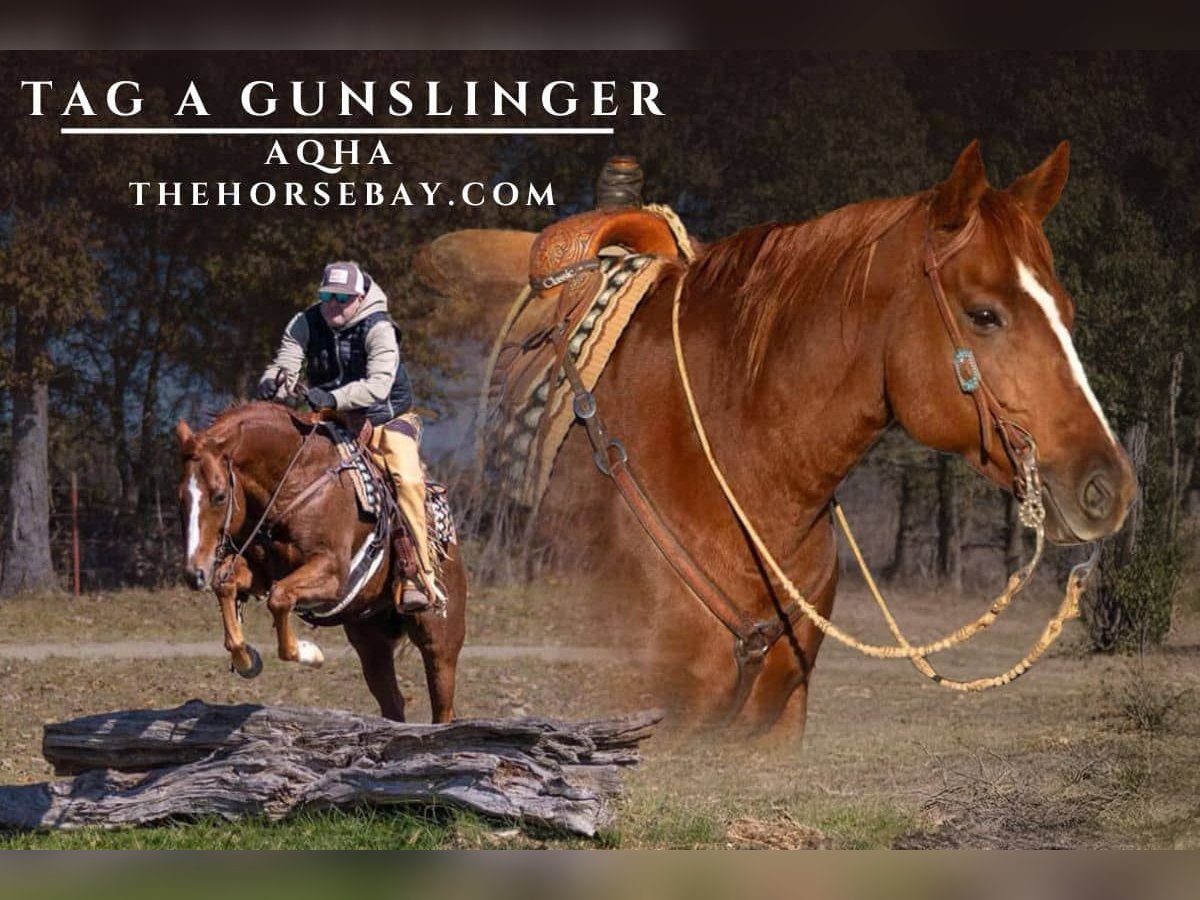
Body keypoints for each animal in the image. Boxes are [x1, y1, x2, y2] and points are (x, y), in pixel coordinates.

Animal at [175, 402, 467, 723]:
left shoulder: (333, 575)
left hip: (439, 640)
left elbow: (280, 598)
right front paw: (246, 659)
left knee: (443, 705)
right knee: (392, 702)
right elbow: (227, 585)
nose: (194, 573)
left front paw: (310, 653)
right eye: (181, 498)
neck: (298, 478)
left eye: (219, 496)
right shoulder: (264, 573)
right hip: (371, 643)